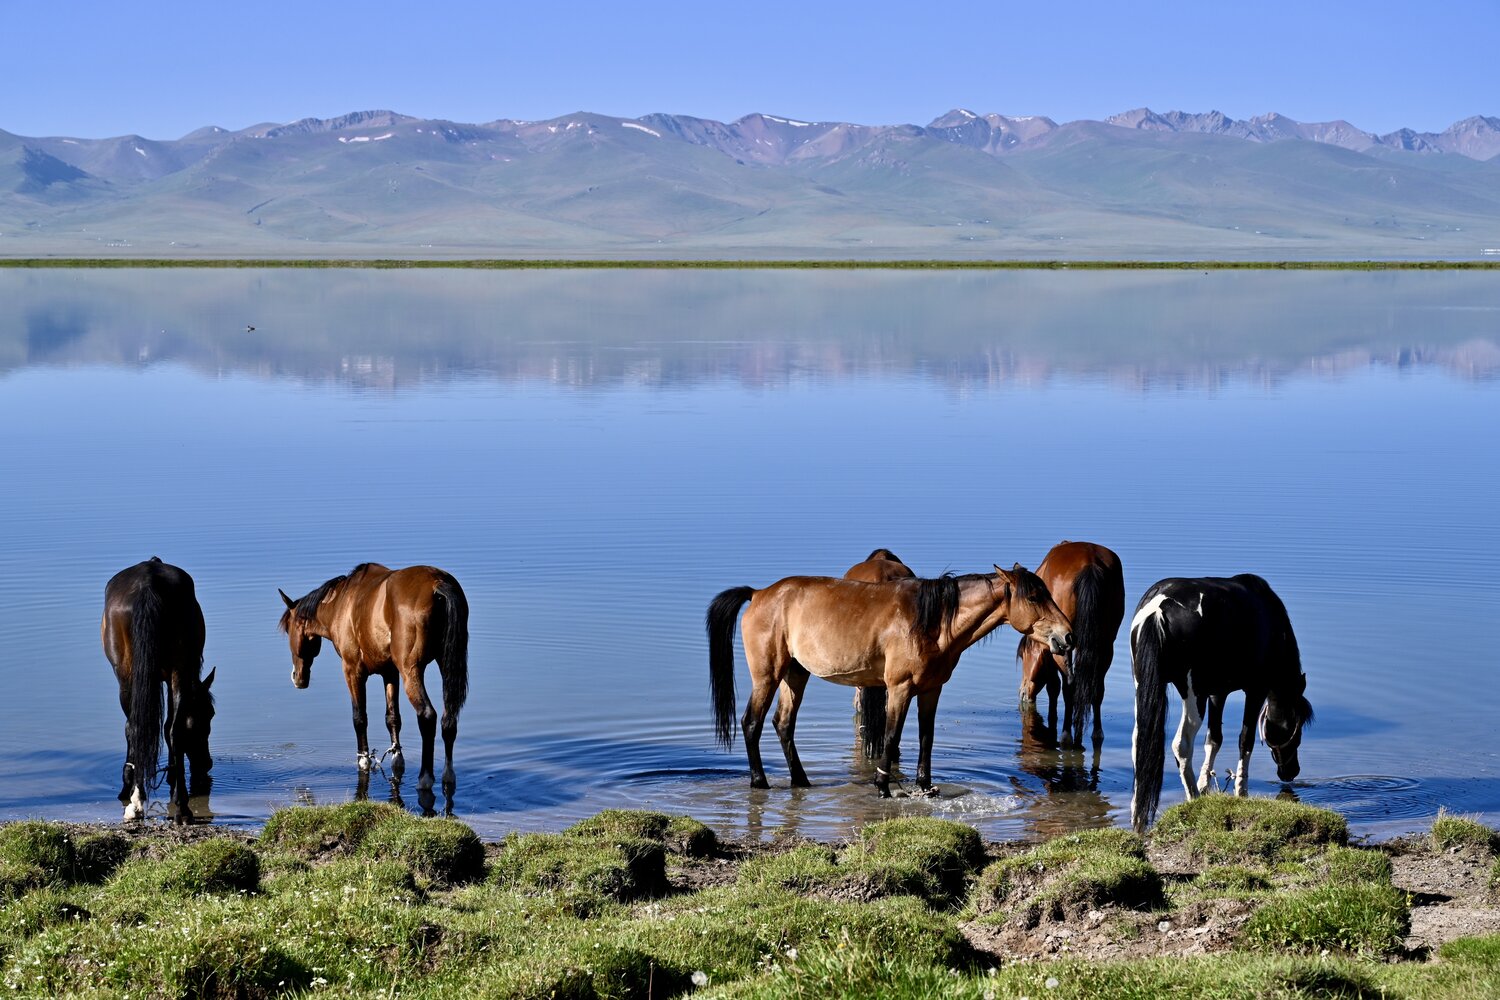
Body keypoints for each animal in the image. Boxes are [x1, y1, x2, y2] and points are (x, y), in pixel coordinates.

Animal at [101, 557, 216, 823]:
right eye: (209, 715)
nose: (207, 764)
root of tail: (149, 583)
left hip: (130, 674)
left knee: (139, 727)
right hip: (172, 671)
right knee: (166, 729)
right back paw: (178, 808)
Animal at [278, 563, 469, 797]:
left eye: (289, 629)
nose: (297, 677)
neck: (342, 603)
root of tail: (437, 582)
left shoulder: (353, 670)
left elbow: (359, 718)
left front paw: (363, 760)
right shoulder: (390, 672)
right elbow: (393, 718)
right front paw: (396, 757)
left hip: (411, 671)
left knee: (427, 716)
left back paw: (425, 778)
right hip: (443, 664)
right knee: (448, 720)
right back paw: (448, 775)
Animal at [1017, 541, 1125, 747]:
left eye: (1023, 657)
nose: (1022, 693)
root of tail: (1090, 562)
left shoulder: (1053, 647)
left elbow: (1054, 686)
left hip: (1065, 649)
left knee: (1069, 686)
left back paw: (1066, 735)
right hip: (1106, 644)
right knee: (1096, 688)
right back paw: (1094, 734)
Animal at [1128, 573, 1314, 832]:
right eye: (1297, 726)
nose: (1291, 772)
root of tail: (1158, 607)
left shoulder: (1218, 693)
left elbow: (1214, 739)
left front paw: (1205, 785)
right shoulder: (1255, 691)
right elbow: (1245, 740)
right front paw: (1240, 791)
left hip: (1142, 687)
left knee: (1139, 743)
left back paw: (1137, 814)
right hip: (1193, 695)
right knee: (1181, 744)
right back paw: (1193, 799)